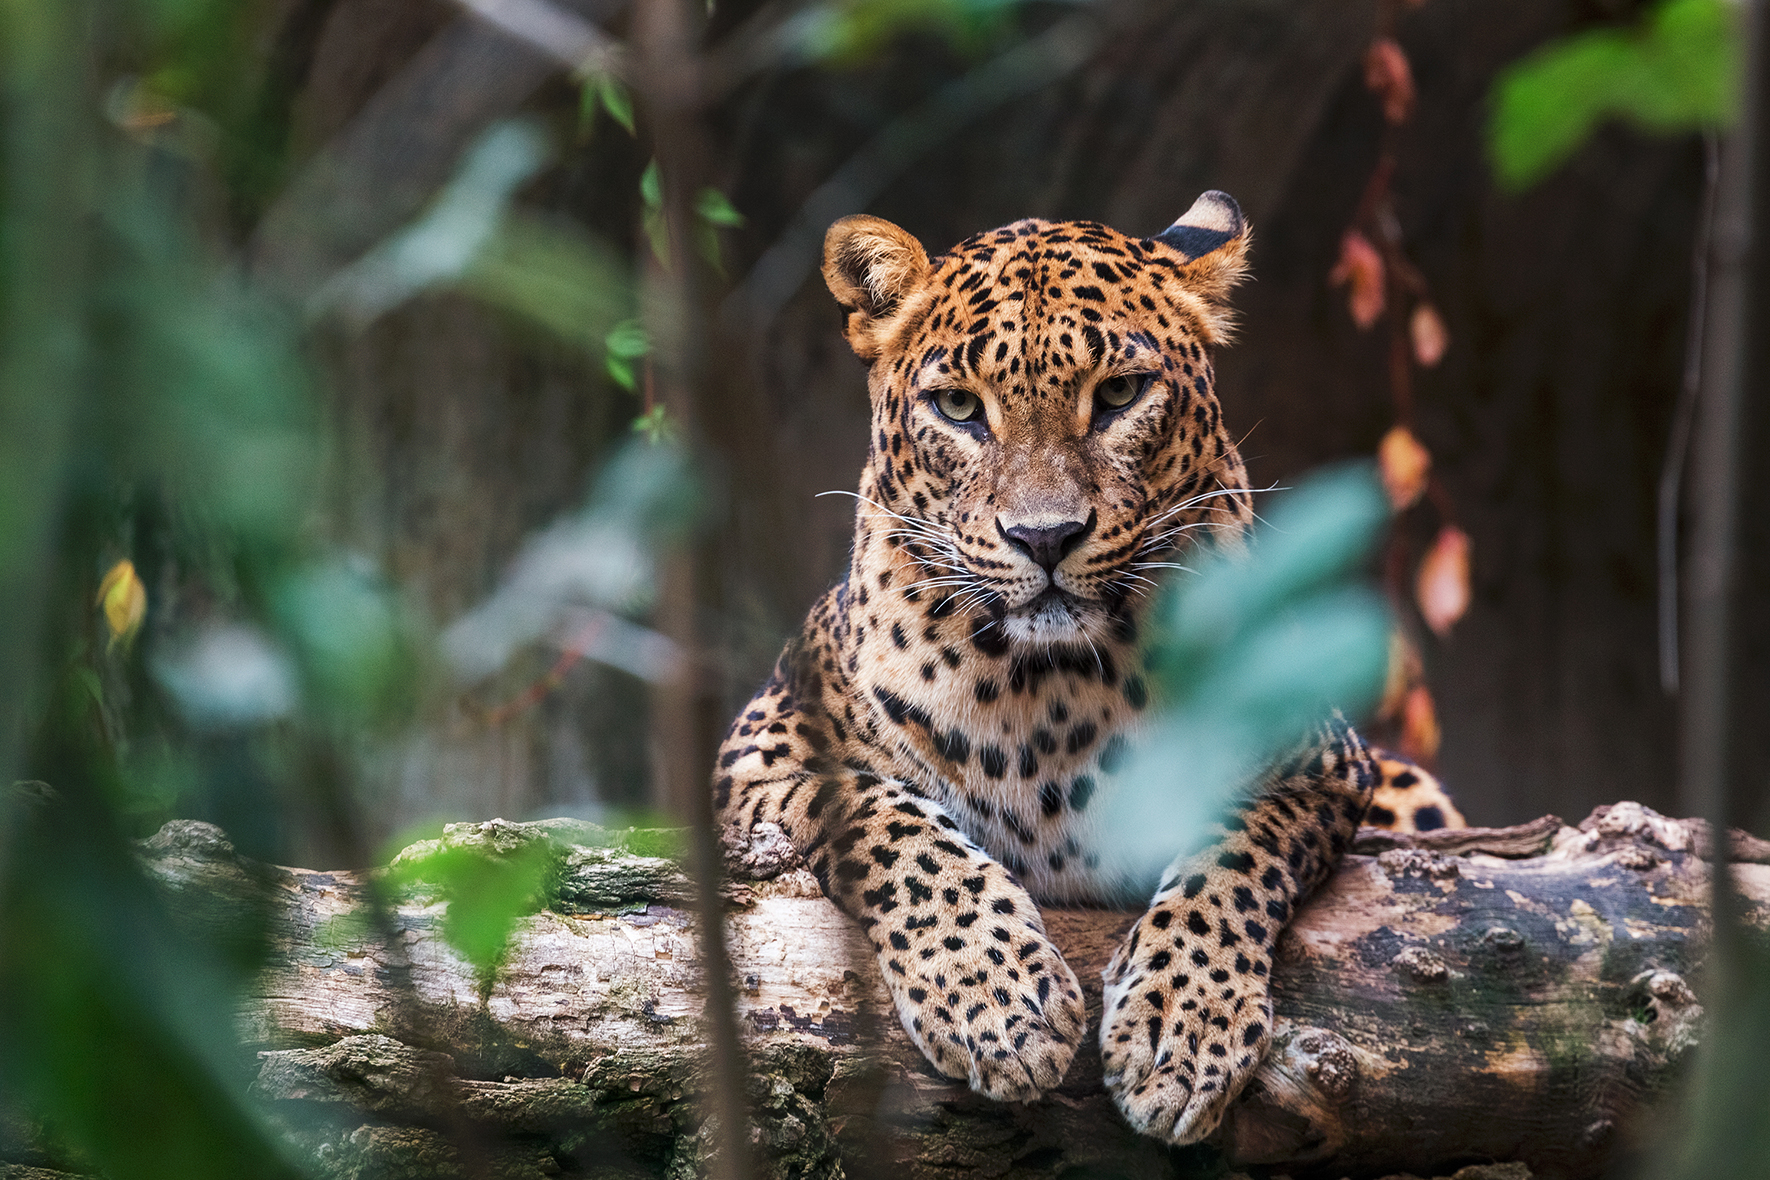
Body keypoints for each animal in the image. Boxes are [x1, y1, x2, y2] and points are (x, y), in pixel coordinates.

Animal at [714, 191, 1462, 1146]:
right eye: (958, 407)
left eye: (1119, 394)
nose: (1045, 537)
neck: (1051, 688)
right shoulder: (761, 753)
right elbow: (895, 827)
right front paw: (998, 1003)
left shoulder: (1320, 762)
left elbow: (1232, 853)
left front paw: (1182, 1030)